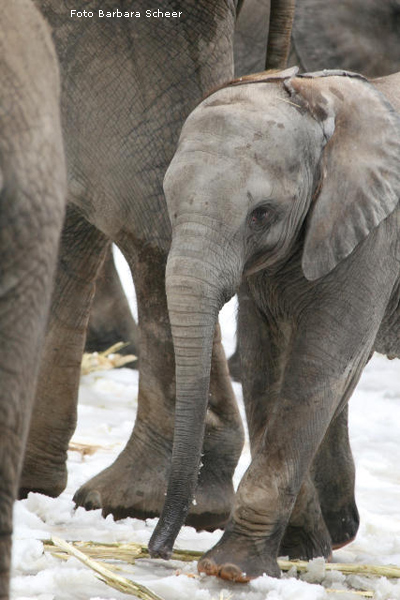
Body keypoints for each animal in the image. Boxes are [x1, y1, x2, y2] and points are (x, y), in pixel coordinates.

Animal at [148, 68, 400, 580]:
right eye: (169, 199)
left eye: (261, 214)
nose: (157, 551)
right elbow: (265, 365)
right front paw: (300, 548)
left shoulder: (375, 239)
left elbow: (319, 364)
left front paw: (231, 569)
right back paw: (338, 531)